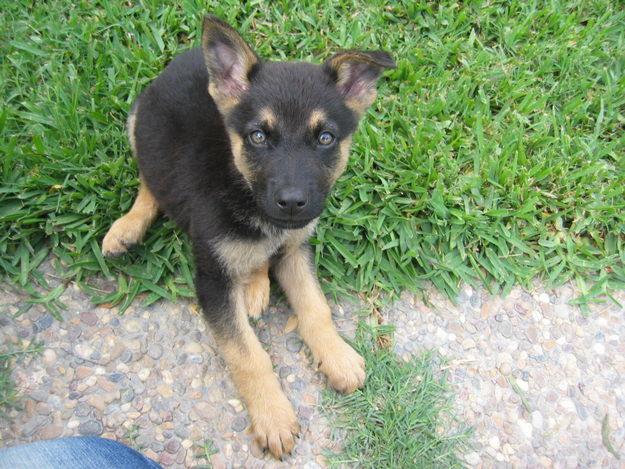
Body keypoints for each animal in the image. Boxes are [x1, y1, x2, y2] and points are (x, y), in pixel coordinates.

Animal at [102, 16, 394, 458]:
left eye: (325, 138)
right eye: (258, 136)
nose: (292, 203)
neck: (247, 194)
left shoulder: (295, 248)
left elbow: (316, 307)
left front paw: (338, 356)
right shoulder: (211, 279)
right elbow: (246, 354)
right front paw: (273, 415)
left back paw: (255, 284)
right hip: (137, 123)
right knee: (149, 180)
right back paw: (127, 228)